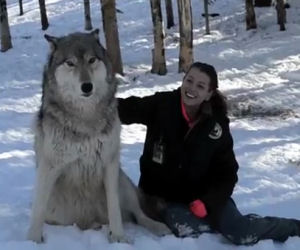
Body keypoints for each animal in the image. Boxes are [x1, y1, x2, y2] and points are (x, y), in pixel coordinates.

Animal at [27, 28, 170, 242]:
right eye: (70, 63)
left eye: (92, 60)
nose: (87, 86)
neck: (85, 118)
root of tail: (92, 218)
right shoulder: (50, 166)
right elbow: (37, 211)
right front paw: (33, 241)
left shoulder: (109, 163)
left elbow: (114, 209)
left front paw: (119, 238)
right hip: (57, 212)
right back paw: (94, 226)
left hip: (123, 182)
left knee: (138, 215)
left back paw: (158, 227)